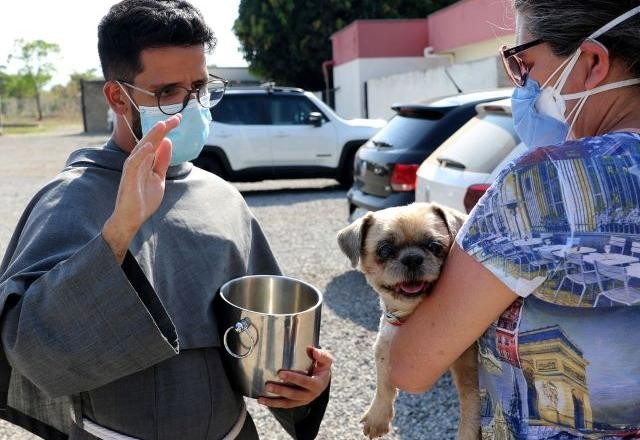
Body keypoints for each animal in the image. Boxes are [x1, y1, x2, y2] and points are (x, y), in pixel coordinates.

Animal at [338, 203, 478, 440]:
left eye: (435, 246)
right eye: (384, 250)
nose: (412, 257)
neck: (409, 314)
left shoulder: (466, 360)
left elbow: (470, 399)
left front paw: (468, 430)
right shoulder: (385, 340)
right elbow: (383, 381)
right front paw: (378, 415)